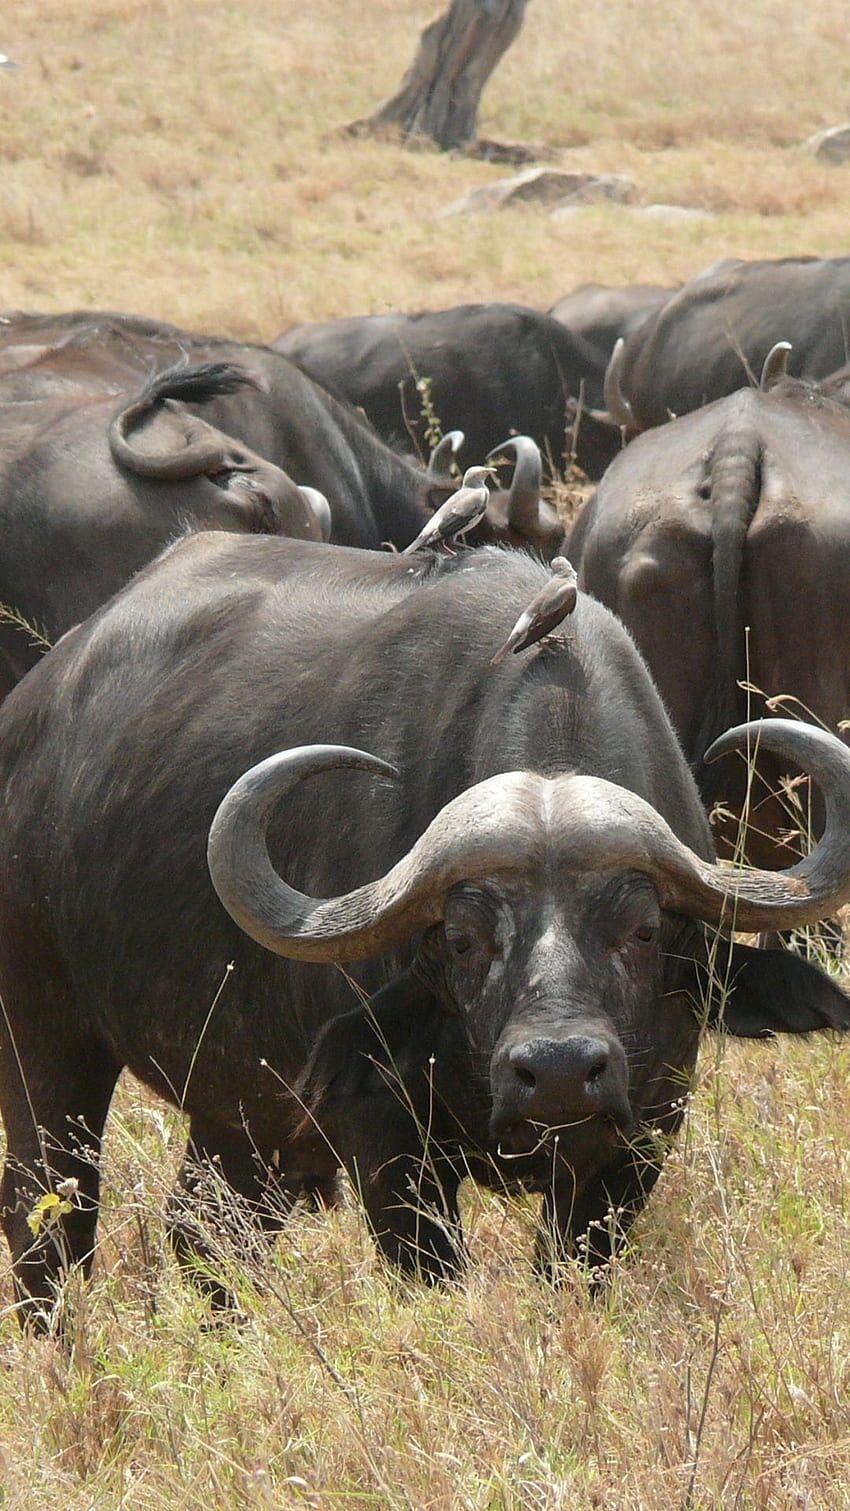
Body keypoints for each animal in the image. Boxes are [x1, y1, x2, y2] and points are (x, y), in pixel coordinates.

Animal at [1, 534, 850, 1323]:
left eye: (643, 931)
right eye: (464, 940)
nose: (560, 1069)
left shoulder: (640, 1136)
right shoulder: (385, 1138)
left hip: (239, 1109)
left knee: (206, 1231)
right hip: (45, 1037)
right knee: (49, 1219)